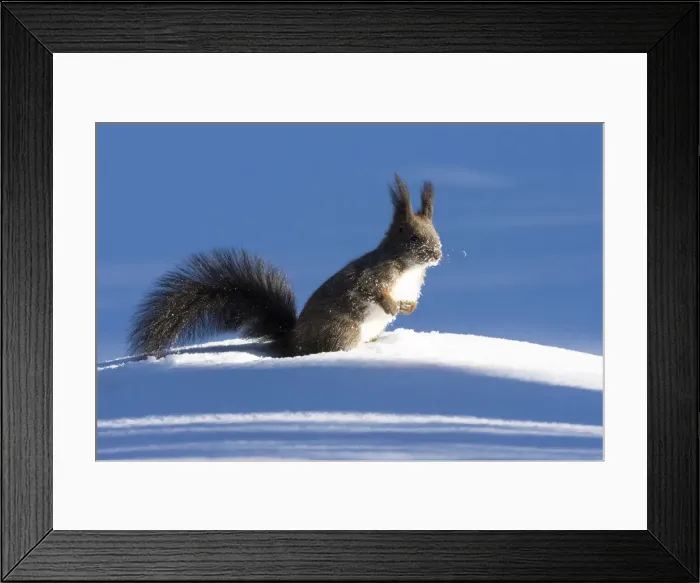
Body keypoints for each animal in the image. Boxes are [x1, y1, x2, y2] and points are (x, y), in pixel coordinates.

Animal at [127, 173, 443, 358]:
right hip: (344, 330)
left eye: (436, 233)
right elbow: (369, 289)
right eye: (414, 237)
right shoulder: (375, 274)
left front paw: (408, 308)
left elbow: (410, 300)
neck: (408, 267)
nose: (437, 254)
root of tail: (293, 342)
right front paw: (390, 306)